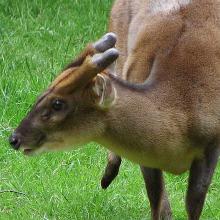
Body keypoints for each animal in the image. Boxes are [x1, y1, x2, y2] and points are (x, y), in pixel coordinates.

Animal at [9, 0, 220, 220]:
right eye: (41, 94)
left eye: (57, 103)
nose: (14, 138)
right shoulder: (145, 153)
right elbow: (157, 201)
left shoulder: (211, 144)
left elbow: (193, 204)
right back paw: (107, 177)